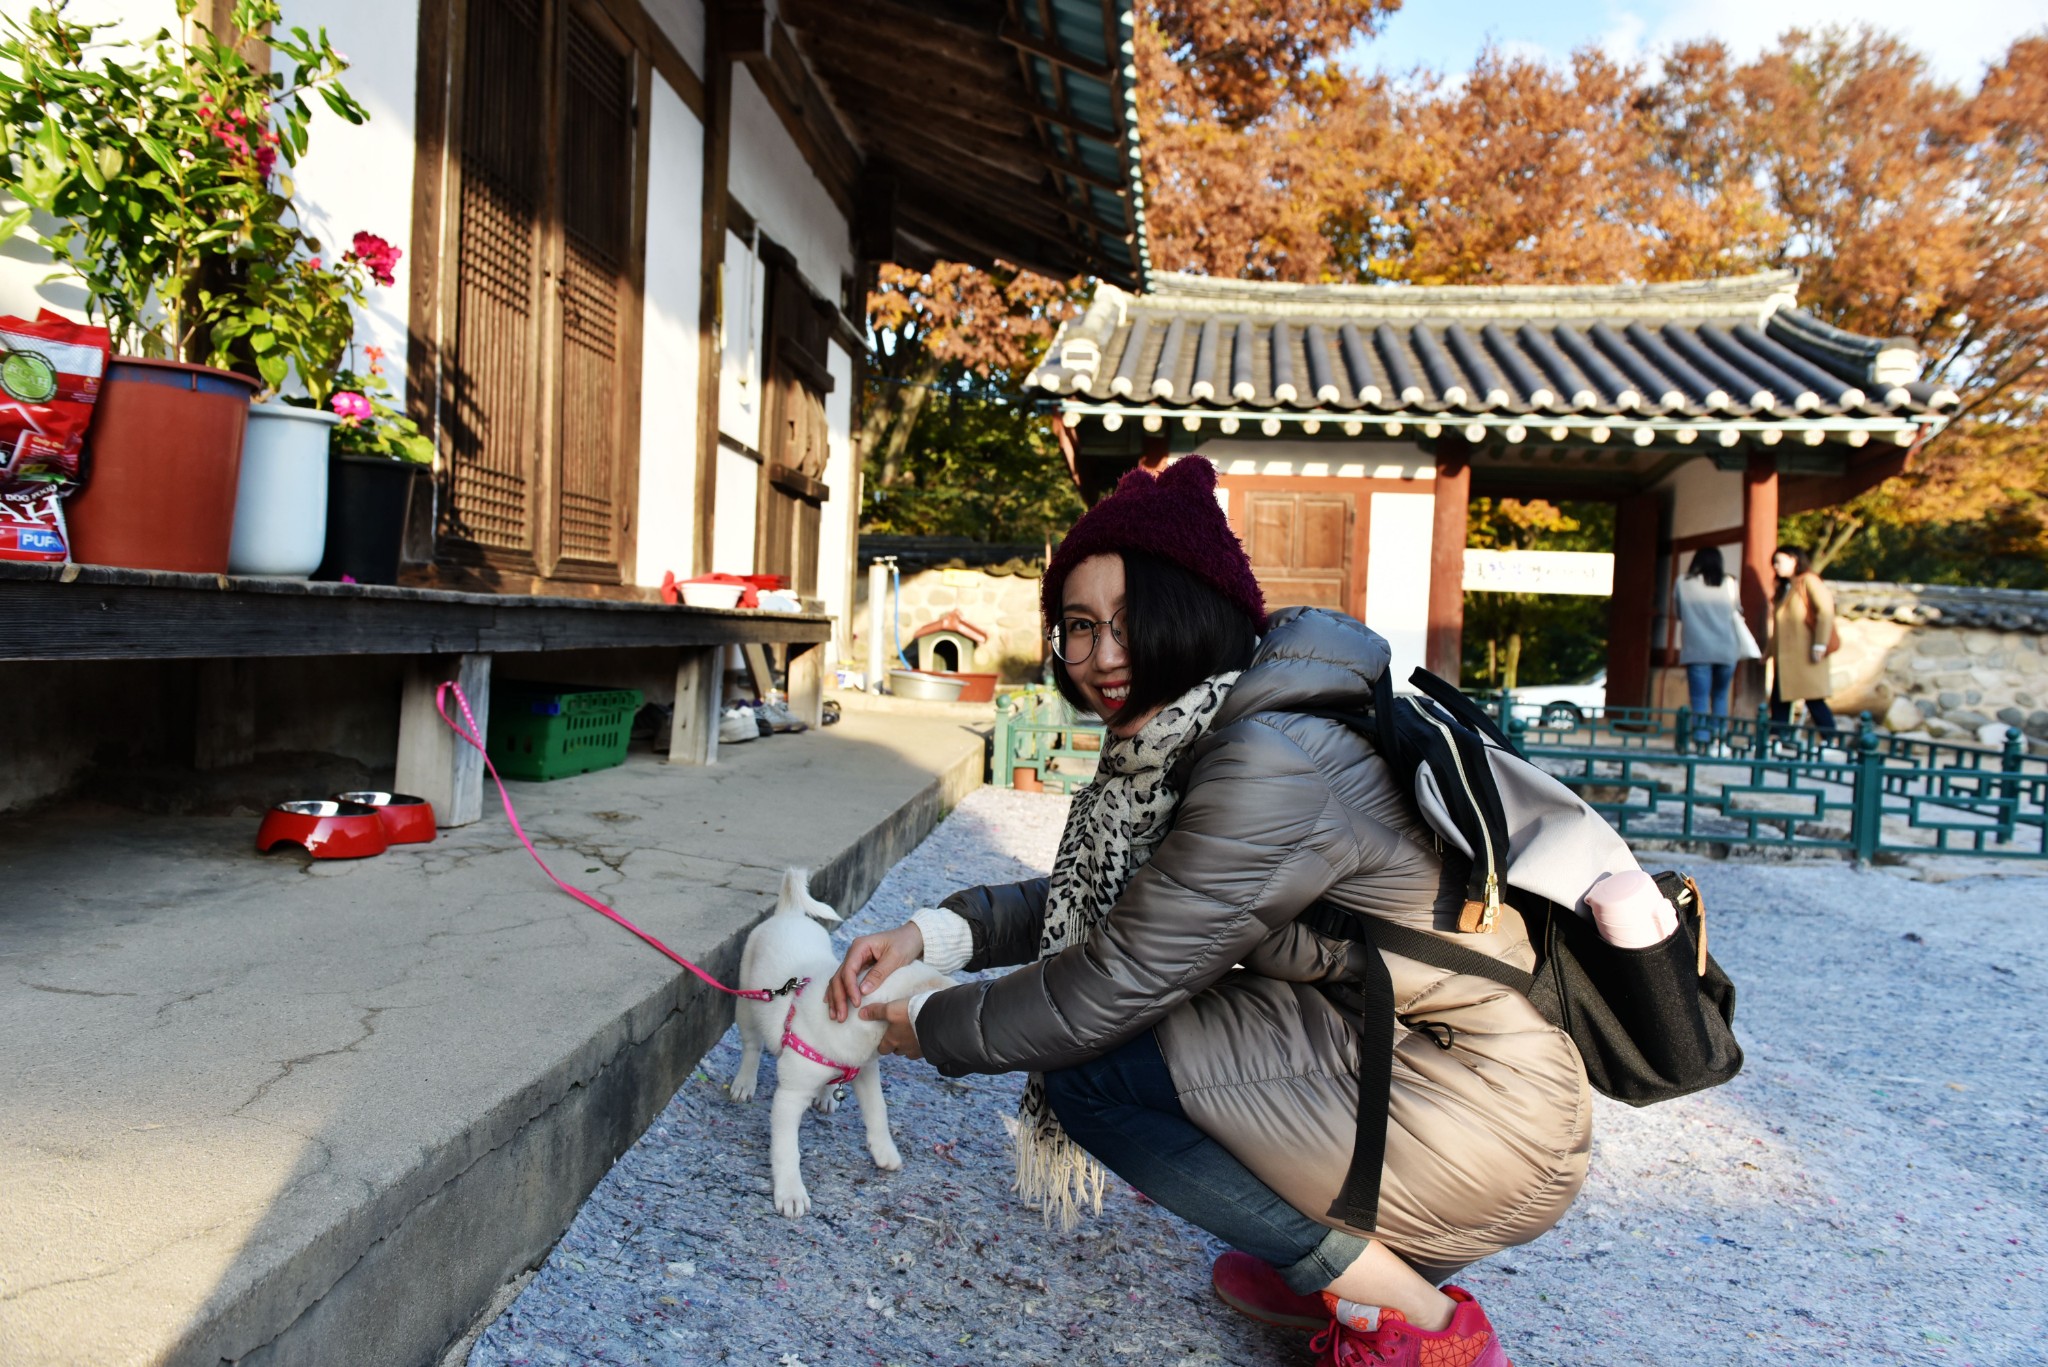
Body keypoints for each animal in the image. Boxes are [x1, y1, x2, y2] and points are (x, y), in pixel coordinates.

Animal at [729, 873, 950, 1213]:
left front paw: (884, 1151)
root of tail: (789, 912)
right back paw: (744, 1081)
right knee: (751, 1046)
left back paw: (827, 1095)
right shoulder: (790, 1098)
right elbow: (786, 1149)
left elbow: (878, 1111)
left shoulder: (866, 1071)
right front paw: (791, 1193)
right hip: (746, 1003)